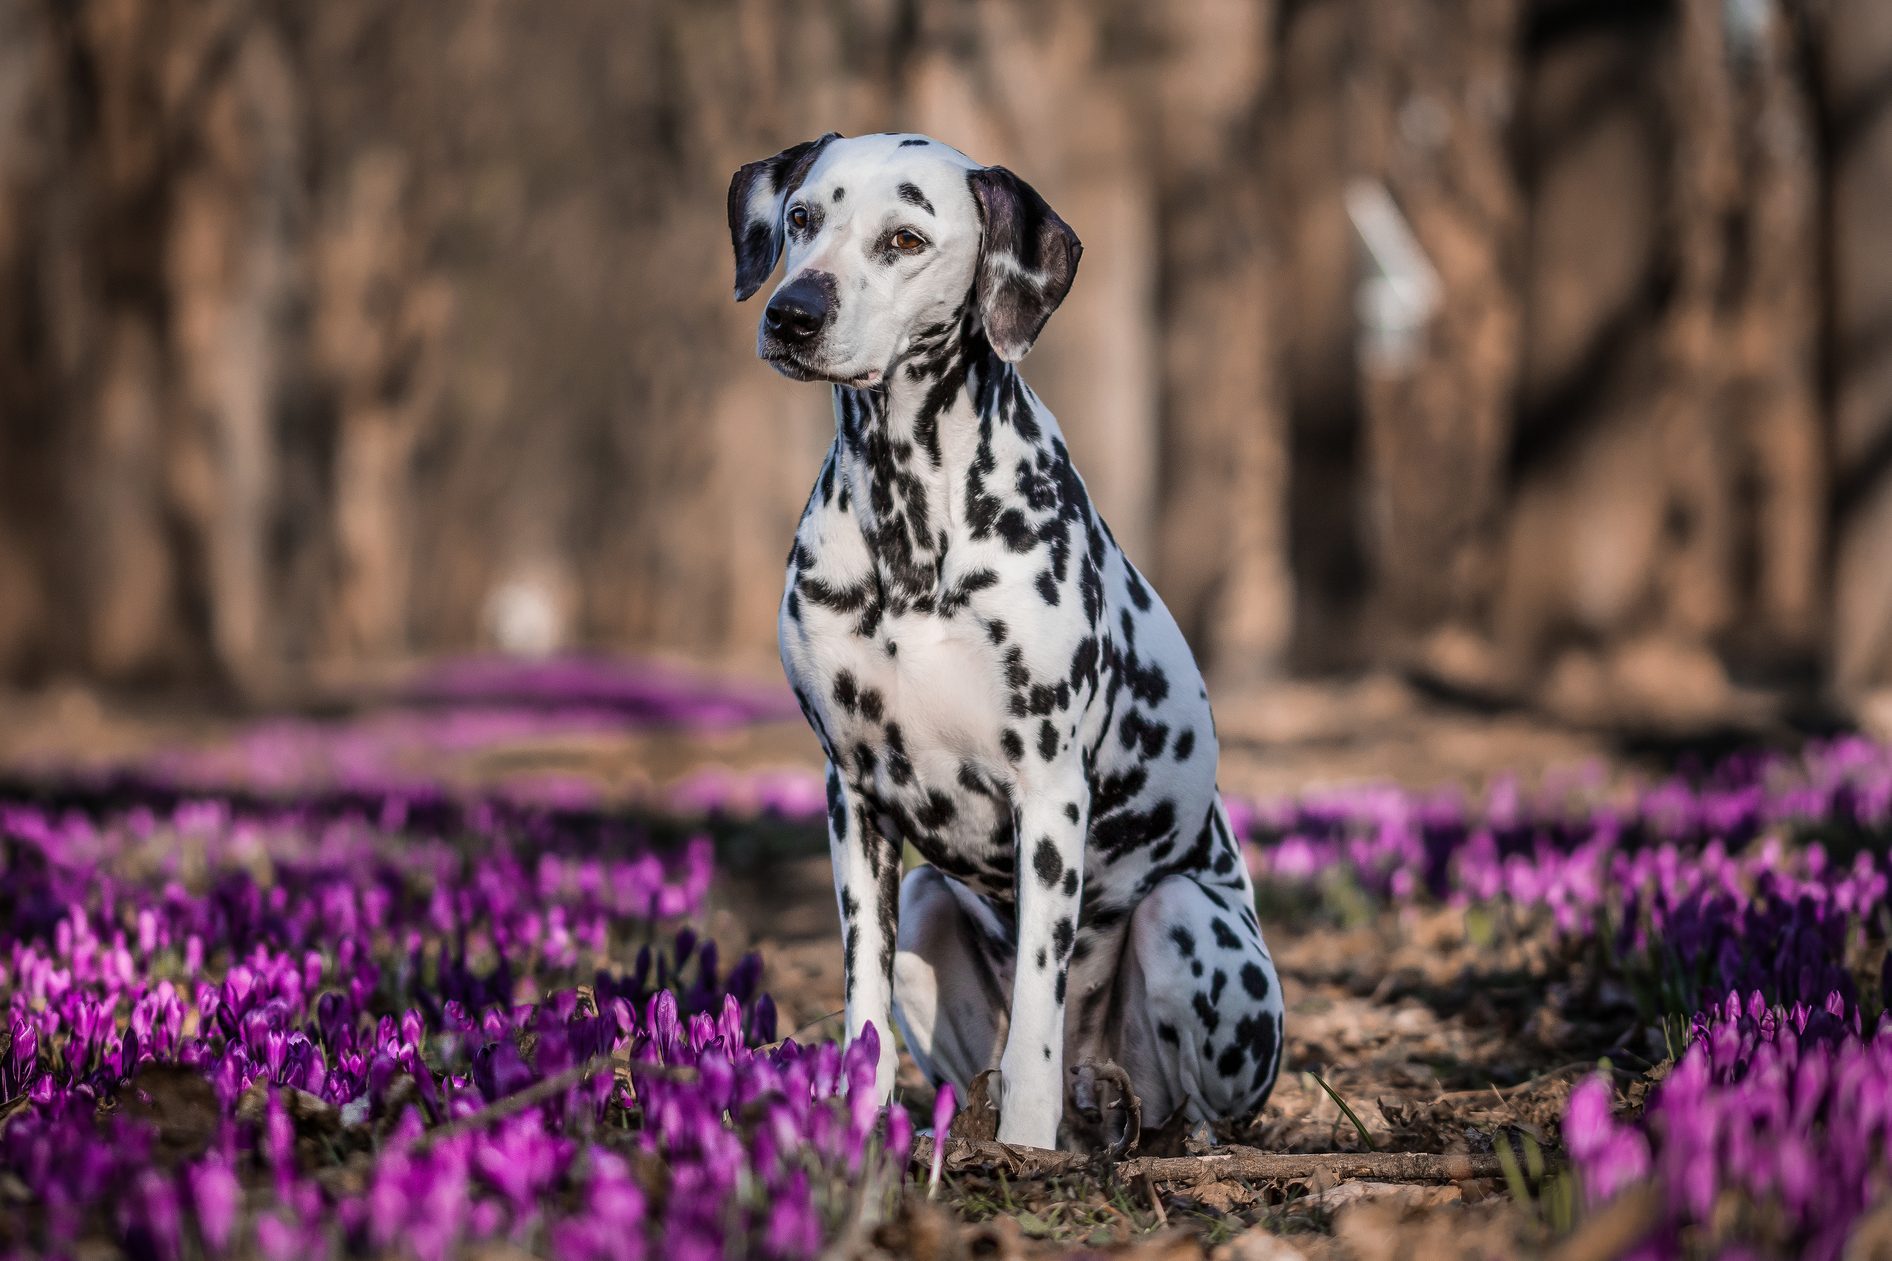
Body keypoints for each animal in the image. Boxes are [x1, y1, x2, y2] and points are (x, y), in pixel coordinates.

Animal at [722, 132, 1286, 1143]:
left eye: (905, 238)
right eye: (801, 219)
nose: (793, 313)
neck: (908, 517)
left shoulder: (1048, 792)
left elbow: (1035, 1015)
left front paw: (1028, 1142)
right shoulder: (853, 794)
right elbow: (863, 1004)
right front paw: (859, 1126)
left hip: (1183, 916)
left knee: (1188, 1101)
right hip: (925, 901)